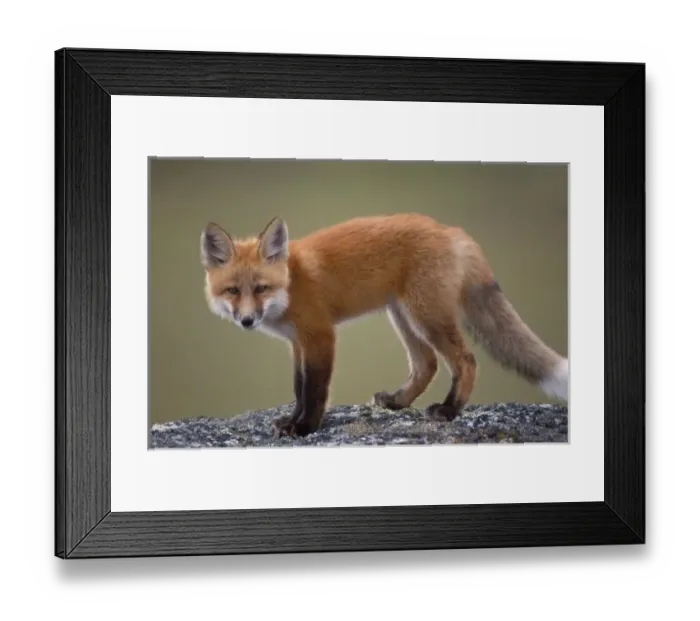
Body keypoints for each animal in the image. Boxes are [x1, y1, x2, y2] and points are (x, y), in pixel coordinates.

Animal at [200, 213, 568, 438]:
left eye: (261, 288)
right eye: (233, 291)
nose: (247, 320)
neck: (292, 283)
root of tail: (450, 230)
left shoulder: (320, 335)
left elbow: (315, 390)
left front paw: (305, 427)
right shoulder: (298, 343)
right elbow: (299, 388)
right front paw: (292, 420)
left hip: (426, 317)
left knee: (465, 360)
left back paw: (449, 410)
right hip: (402, 315)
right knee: (427, 364)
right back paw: (398, 402)